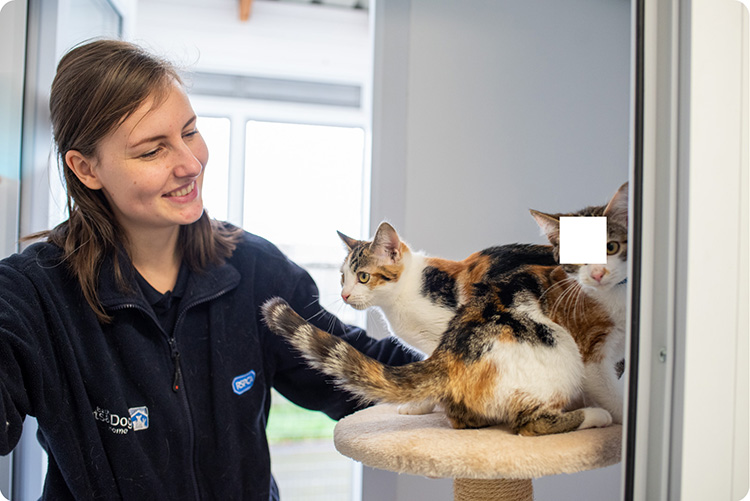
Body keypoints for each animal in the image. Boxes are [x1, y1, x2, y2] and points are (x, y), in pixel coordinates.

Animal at [262, 184, 628, 434]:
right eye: (342, 277)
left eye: (363, 277)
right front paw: (422, 402)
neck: (403, 296)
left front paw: (424, 404)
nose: (345, 294)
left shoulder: (441, 332)